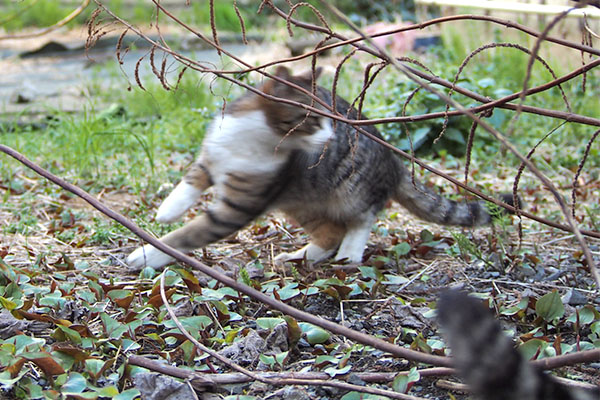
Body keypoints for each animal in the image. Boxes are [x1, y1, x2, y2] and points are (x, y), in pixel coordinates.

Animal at [126, 67, 510, 270]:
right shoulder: (214, 154)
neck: (255, 137)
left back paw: (350, 252)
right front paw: (168, 209)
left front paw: (147, 252)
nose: (332, 135)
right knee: (328, 234)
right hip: (300, 202)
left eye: (329, 117)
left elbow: (189, 234)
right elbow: (194, 176)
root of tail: (397, 161)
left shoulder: (239, 206)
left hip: (349, 189)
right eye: (313, 119)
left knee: (360, 219)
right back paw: (301, 254)